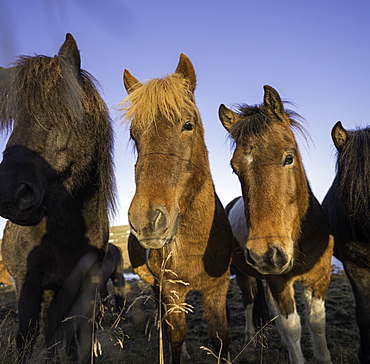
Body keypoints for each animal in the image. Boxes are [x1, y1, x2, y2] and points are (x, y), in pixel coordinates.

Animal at [0, 33, 115, 362]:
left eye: (68, 115)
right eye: (15, 122)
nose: (10, 194)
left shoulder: (83, 286)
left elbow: (75, 341)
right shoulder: (29, 281)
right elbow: (26, 336)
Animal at [218, 84, 334, 362]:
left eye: (288, 157)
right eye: (235, 169)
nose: (264, 254)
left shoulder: (320, 277)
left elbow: (317, 323)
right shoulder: (280, 281)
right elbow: (293, 327)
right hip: (244, 275)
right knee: (249, 303)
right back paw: (251, 340)